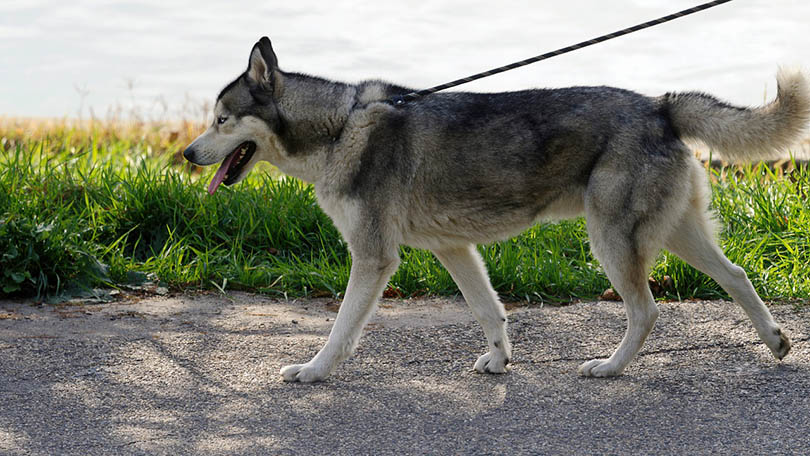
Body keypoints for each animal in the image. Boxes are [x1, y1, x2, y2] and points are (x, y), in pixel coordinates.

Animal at [185, 37, 808, 382]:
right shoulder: (454, 249)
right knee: (737, 276)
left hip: (611, 241)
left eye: (221, 120)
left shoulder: (373, 258)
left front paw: (313, 372)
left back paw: (610, 367)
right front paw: (499, 361)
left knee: (647, 311)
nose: (188, 155)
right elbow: (490, 311)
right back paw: (777, 342)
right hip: (676, 235)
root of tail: (659, 105)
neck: (338, 129)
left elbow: (340, 331)